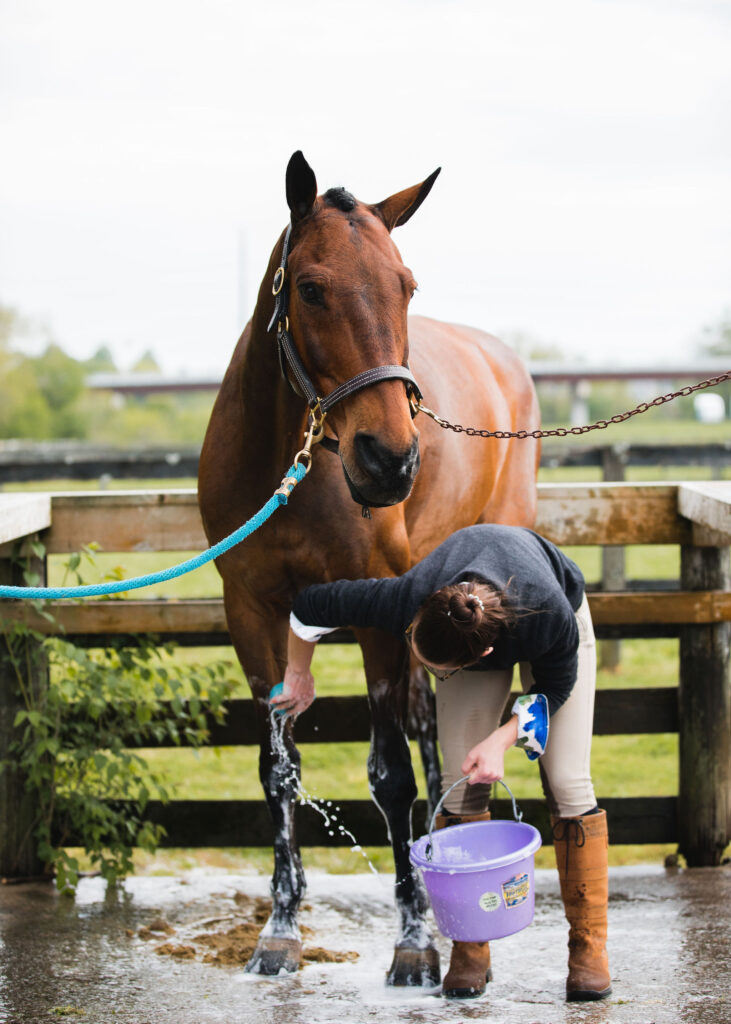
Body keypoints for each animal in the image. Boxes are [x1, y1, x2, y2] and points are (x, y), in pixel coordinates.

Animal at [196, 149, 536, 983]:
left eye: (404, 284)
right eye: (311, 288)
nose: (389, 460)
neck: (290, 463)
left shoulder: (378, 613)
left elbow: (390, 775)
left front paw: (413, 939)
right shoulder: (252, 612)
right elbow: (278, 771)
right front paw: (280, 926)